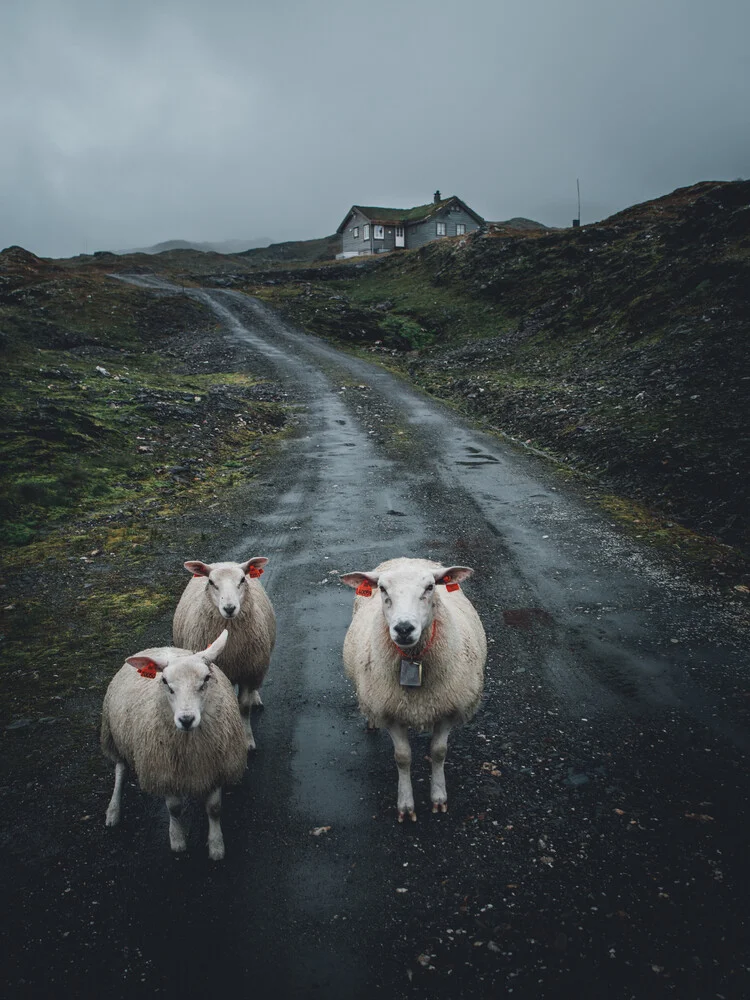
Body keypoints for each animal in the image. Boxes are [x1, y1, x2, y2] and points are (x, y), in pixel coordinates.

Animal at [99, 632, 247, 860]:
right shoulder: (165, 771)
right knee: (120, 770)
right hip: (114, 737)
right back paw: (113, 810)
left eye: (206, 679)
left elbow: (214, 808)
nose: (186, 719)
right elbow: (174, 808)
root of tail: (160, 648)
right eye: (165, 682)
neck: (190, 744)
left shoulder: (216, 767)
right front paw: (177, 840)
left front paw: (216, 846)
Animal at [173, 556, 276, 752]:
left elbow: (243, 706)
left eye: (242, 580)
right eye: (211, 582)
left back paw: (255, 698)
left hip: (257, 668)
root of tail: (224, 561)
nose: (229, 608)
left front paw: (247, 740)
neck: (230, 648)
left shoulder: (248, 671)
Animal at [340, 556, 488, 820]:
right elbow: (402, 758)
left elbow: (439, 752)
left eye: (430, 587)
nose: (404, 628)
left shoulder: (447, 709)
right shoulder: (391, 712)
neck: (413, 659)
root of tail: (405, 558)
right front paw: (406, 805)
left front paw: (438, 797)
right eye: (382, 589)